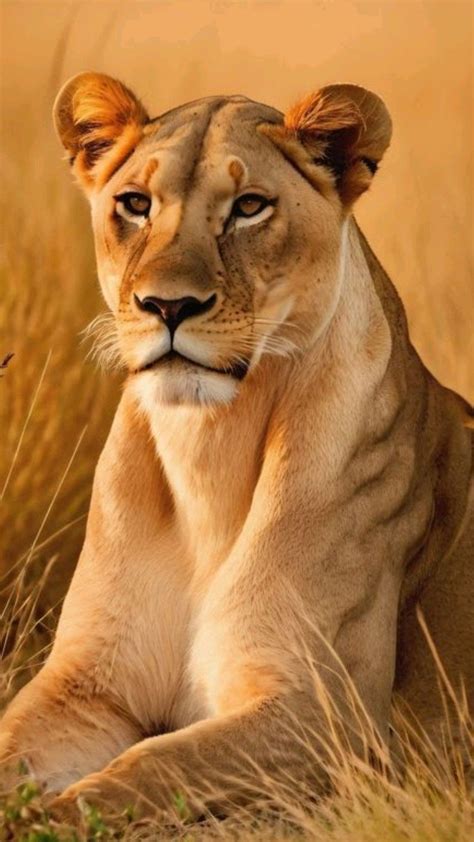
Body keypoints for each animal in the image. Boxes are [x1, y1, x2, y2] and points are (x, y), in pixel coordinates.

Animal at [1, 73, 472, 824]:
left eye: (249, 207)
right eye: (135, 204)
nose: (168, 306)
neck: (207, 447)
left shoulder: (329, 719)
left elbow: (152, 765)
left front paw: (49, 817)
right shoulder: (86, 683)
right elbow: (12, 741)